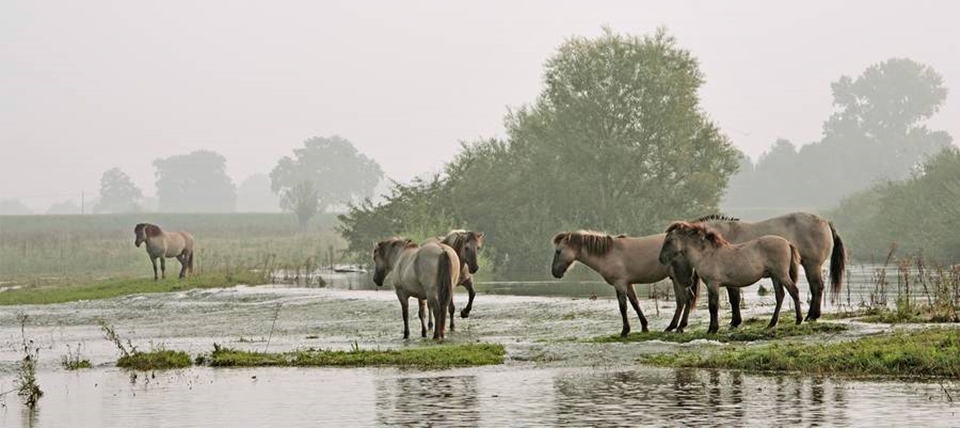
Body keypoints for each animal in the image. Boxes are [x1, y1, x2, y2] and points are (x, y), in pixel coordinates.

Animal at [552, 231, 700, 338]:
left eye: (558, 251)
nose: (554, 272)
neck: (608, 253)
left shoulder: (620, 284)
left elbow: (623, 307)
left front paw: (624, 331)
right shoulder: (628, 284)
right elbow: (635, 303)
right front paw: (644, 327)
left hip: (680, 278)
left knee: (687, 298)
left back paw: (680, 327)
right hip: (675, 279)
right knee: (681, 301)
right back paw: (672, 327)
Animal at [660, 221, 804, 334]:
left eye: (669, 240)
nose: (661, 259)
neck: (707, 254)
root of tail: (787, 242)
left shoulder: (713, 284)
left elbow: (713, 306)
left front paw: (713, 329)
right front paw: (714, 328)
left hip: (781, 274)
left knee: (794, 291)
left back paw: (799, 319)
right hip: (775, 276)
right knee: (780, 295)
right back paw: (771, 323)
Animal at [692, 212, 844, 322]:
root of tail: (825, 222)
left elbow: (734, 299)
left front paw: (734, 323)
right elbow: (734, 299)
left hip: (812, 265)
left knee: (817, 287)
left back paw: (813, 316)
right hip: (808, 266)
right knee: (814, 287)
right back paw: (809, 315)